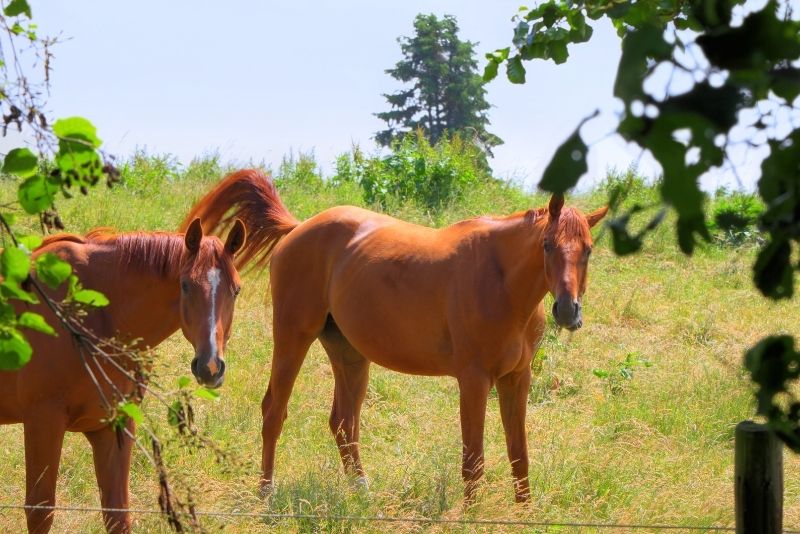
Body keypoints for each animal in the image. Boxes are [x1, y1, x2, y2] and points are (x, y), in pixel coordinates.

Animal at [0, 218, 246, 533]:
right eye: (185, 285)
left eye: (236, 290)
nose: (210, 366)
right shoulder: (43, 422)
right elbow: (39, 512)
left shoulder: (115, 427)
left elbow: (117, 514)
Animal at [182, 169, 607, 503]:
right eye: (547, 245)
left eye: (587, 250)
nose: (567, 310)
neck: (501, 281)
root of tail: (297, 228)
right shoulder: (473, 381)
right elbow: (473, 460)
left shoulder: (517, 378)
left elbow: (520, 455)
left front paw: (524, 512)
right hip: (292, 338)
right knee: (274, 410)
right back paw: (266, 492)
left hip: (350, 354)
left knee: (343, 422)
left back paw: (361, 490)